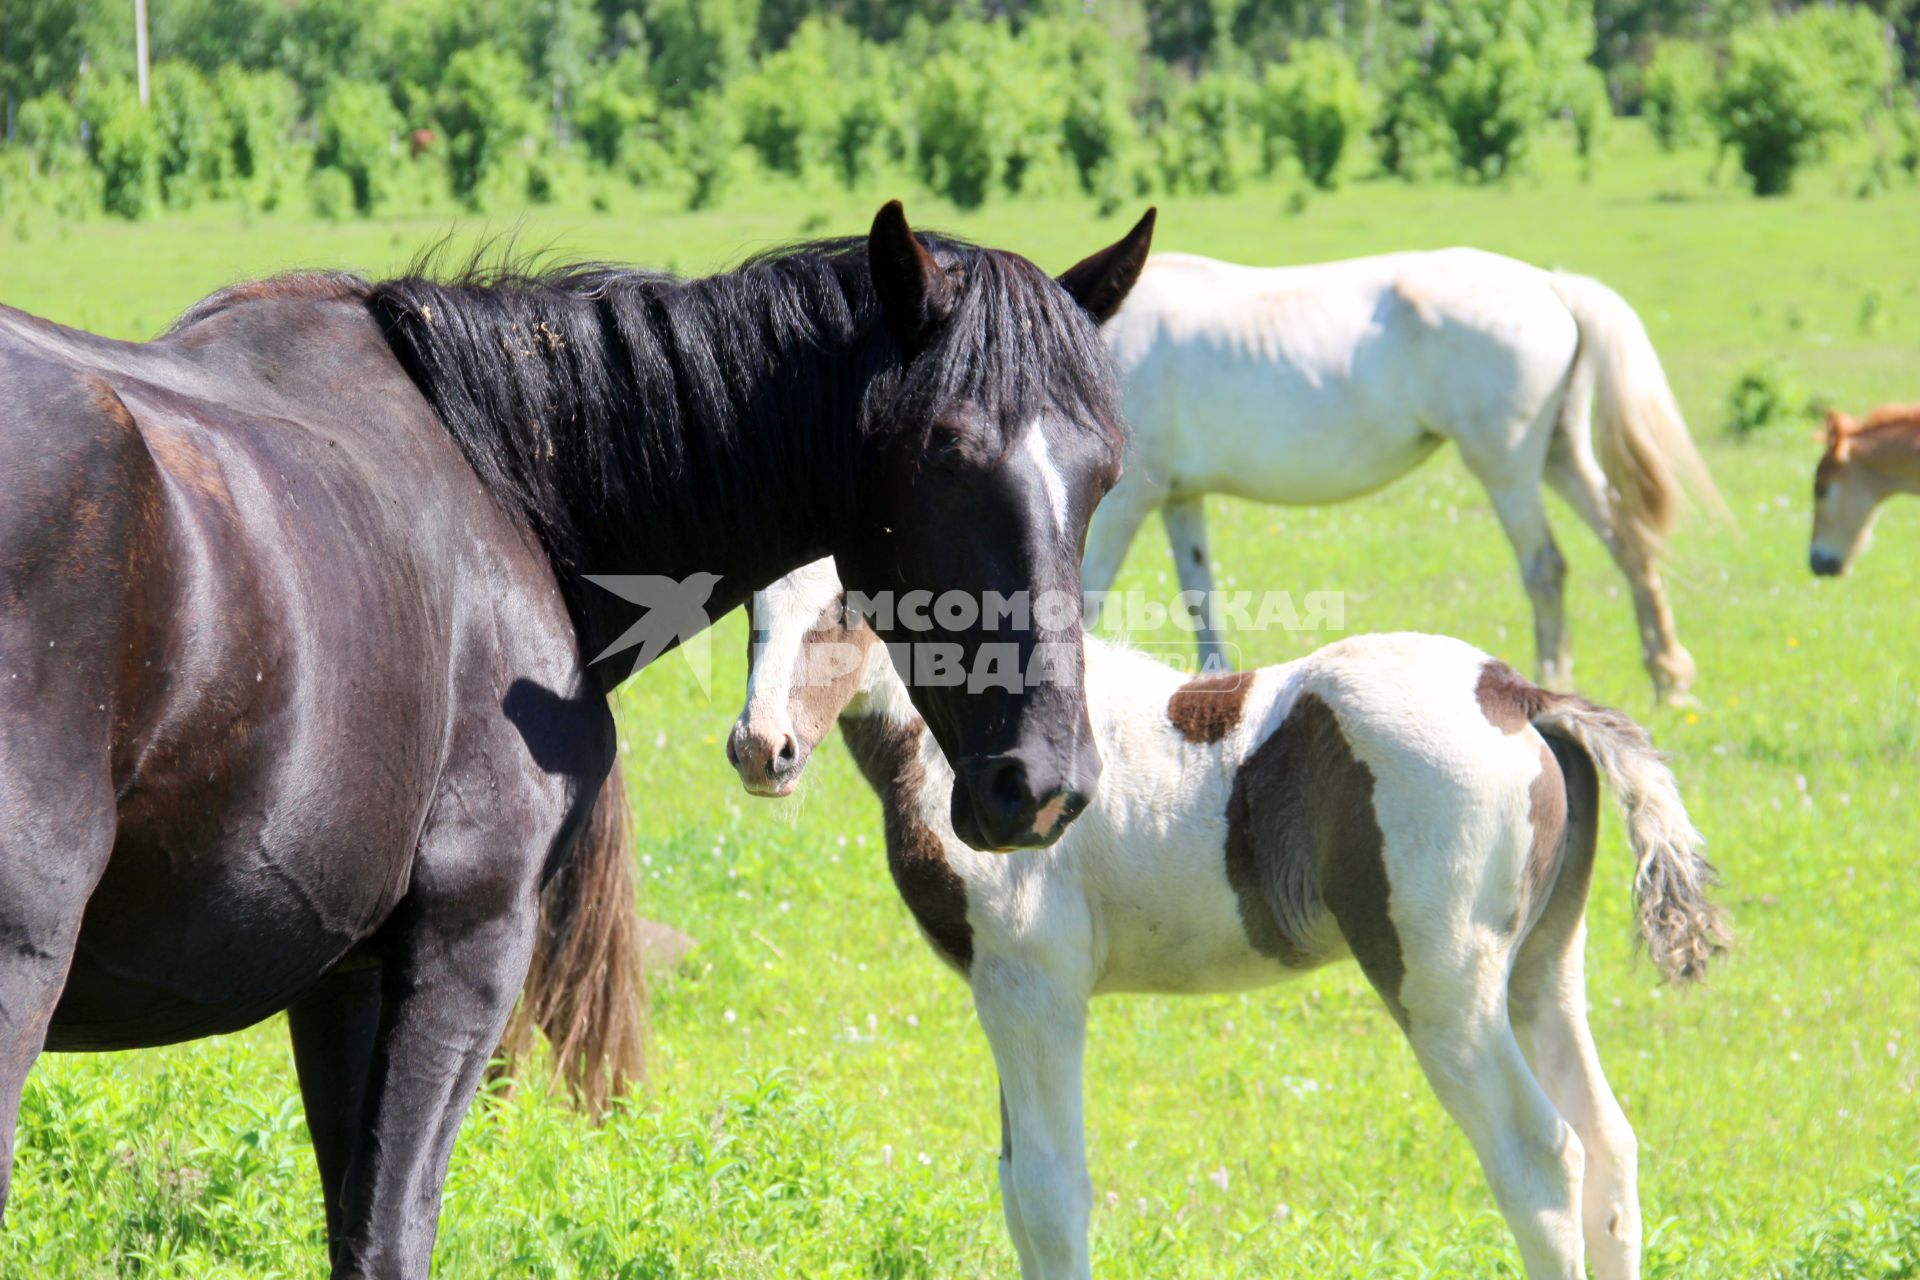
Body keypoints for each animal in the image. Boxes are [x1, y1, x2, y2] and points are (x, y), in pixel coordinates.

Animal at [0, 205, 1152, 1274]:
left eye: (1104, 473)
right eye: (947, 455)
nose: (1042, 783)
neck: (506, 485)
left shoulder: (345, 975)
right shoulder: (465, 946)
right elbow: (391, 1235)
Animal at [729, 560, 1728, 1280]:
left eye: (848, 606)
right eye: (749, 607)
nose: (760, 749)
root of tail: (1520, 697)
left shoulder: (1030, 990)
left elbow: (1051, 1197)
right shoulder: (1005, 994)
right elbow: (1017, 1191)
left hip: (1444, 990)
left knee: (1540, 1159)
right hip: (1541, 969)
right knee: (1609, 1148)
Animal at [1098, 249, 1728, 702]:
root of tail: (1550, 285)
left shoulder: (1124, 505)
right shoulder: (1180, 500)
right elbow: (1200, 598)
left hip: (1506, 468)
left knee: (1546, 567)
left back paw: (1552, 680)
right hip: (1560, 454)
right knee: (1628, 542)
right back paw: (1667, 677)